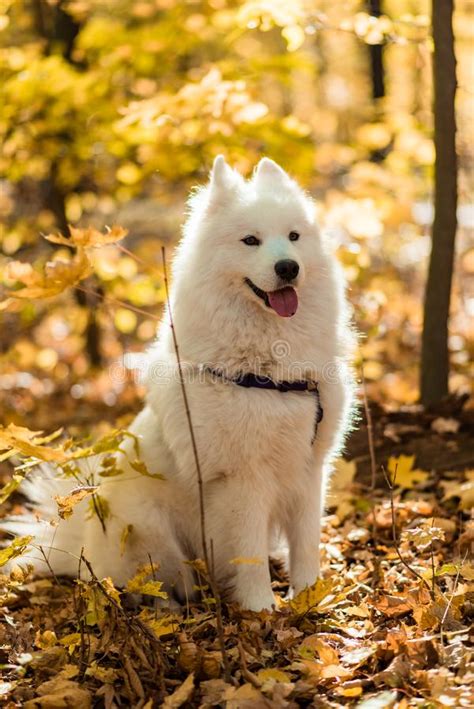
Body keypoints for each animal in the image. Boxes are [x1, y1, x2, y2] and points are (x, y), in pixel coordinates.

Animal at [4, 158, 356, 612]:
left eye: (294, 237)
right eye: (251, 241)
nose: (288, 267)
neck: (271, 370)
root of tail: (79, 543)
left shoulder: (310, 466)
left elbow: (306, 543)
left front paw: (310, 599)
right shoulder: (243, 480)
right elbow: (250, 554)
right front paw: (261, 609)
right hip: (149, 535)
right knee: (149, 586)